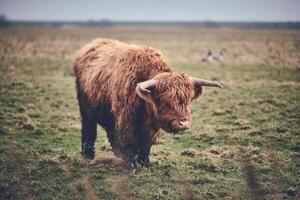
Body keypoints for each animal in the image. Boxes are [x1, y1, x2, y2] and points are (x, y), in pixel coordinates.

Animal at [73, 38, 221, 171]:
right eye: (165, 101)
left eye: (187, 100)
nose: (183, 123)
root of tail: (91, 46)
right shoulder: (126, 121)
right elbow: (129, 142)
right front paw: (131, 165)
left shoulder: (151, 128)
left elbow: (145, 145)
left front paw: (144, 163)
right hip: (86, 110)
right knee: (89, 130)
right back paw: (88, 156)